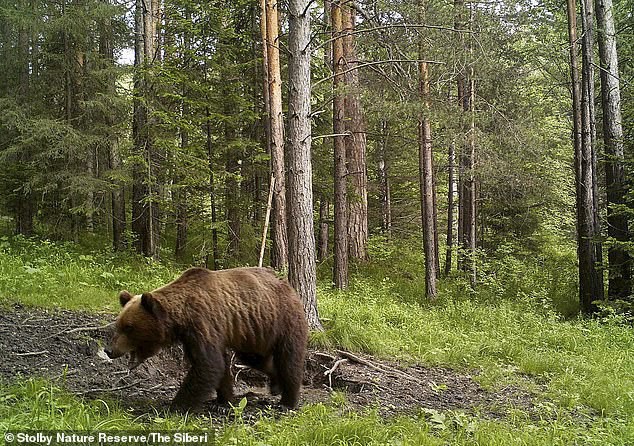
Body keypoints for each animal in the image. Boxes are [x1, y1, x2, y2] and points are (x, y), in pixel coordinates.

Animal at [105, 268, 308, 412]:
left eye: (129, 327)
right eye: (118, 324)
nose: (109, 350)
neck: (181, 318)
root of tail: (288, 286)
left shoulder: (203, 323)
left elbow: (208, 364)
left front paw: (175, 406)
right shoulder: (191, 336)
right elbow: (217, 365)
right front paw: (223, 401)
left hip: (284, 320)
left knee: (289, 359)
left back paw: (287, 401)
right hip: (255, 331)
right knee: (256, 358)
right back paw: (276, 385)